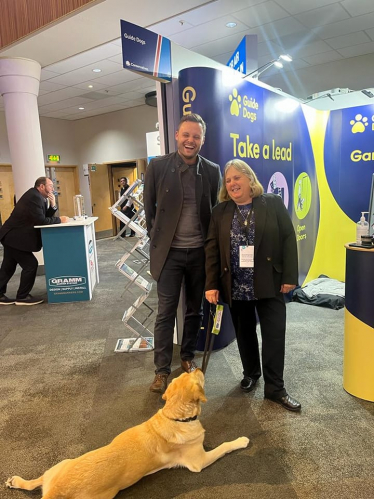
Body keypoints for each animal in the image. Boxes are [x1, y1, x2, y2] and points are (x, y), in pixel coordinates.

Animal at [5, 370, 248, 498]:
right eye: (193, 376)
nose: (197, 367)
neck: (174, 416)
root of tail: (55, 491)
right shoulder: (198, 461)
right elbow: (225, 446)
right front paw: (241, 440)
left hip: (61, 463)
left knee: (35, 482)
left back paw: (16, 481)